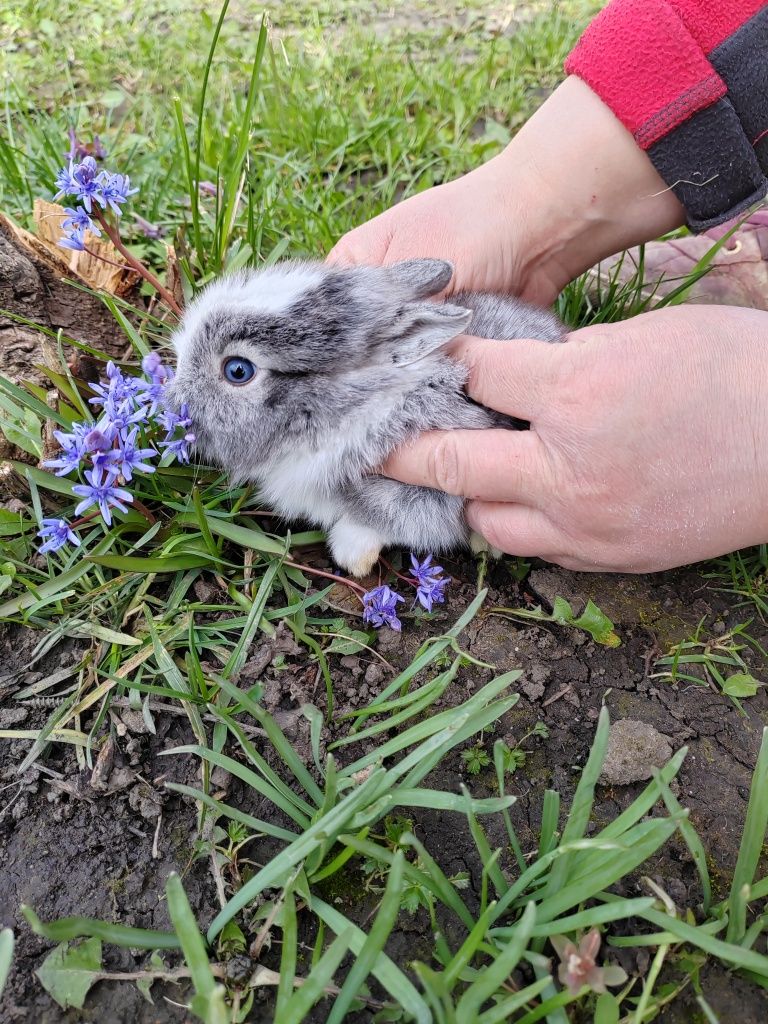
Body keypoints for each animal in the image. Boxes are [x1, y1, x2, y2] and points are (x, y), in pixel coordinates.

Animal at [169, 256, 565, 577]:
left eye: (238, 370)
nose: (172, 400)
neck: (354, 409)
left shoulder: (415, 497)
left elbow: (377, 523)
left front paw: (353, 560)